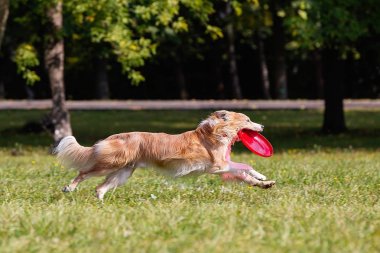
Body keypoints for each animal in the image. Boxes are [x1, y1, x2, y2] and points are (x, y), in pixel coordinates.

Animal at [55, 110, 274, 200]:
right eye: (248, 119)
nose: (263, 126)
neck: (216, 132)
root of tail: (116, 135)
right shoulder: (218, 166)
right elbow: (245, 166)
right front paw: (262, 176)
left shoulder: (223, 167)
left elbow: (246, 175)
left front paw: (264, 182)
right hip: (110, 164)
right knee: (83, 173)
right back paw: (68, 188)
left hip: (123, 172)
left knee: (99, 188)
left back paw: (101, 204)